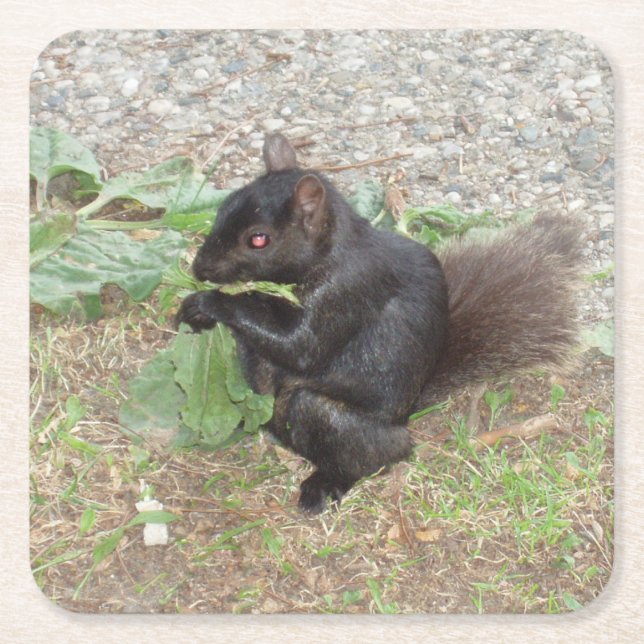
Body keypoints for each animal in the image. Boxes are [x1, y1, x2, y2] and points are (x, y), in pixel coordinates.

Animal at [176, 133, 582, 514]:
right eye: (222, 208)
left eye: (258, 239)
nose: (199, 269)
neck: (329, 252)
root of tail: (406, 416)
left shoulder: (348, 291)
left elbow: (302, 346)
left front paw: (209, 302)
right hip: (260, 379)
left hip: (331, 416)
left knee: (368, 453)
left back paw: (326, 483)